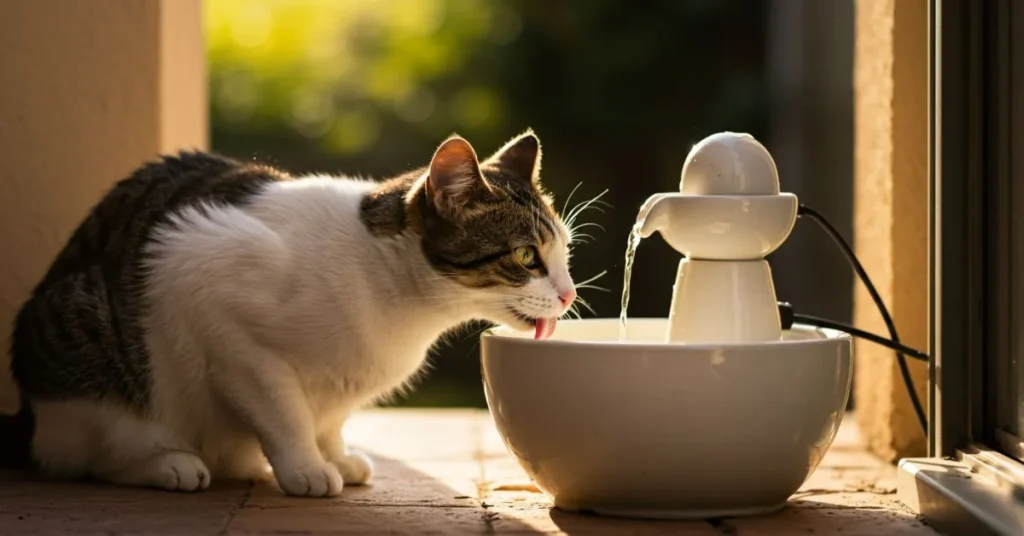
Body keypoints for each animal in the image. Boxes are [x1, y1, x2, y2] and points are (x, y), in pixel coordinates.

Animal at [0, 131, 577, 500]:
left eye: (565, 252)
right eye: (527, 256)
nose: (570, 295)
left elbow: (330, 419)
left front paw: (335, 454)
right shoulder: (216, 308)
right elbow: (286, 413)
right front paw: (306, 467)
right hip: (91, 344)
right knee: (93, 452)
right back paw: (168, 463)